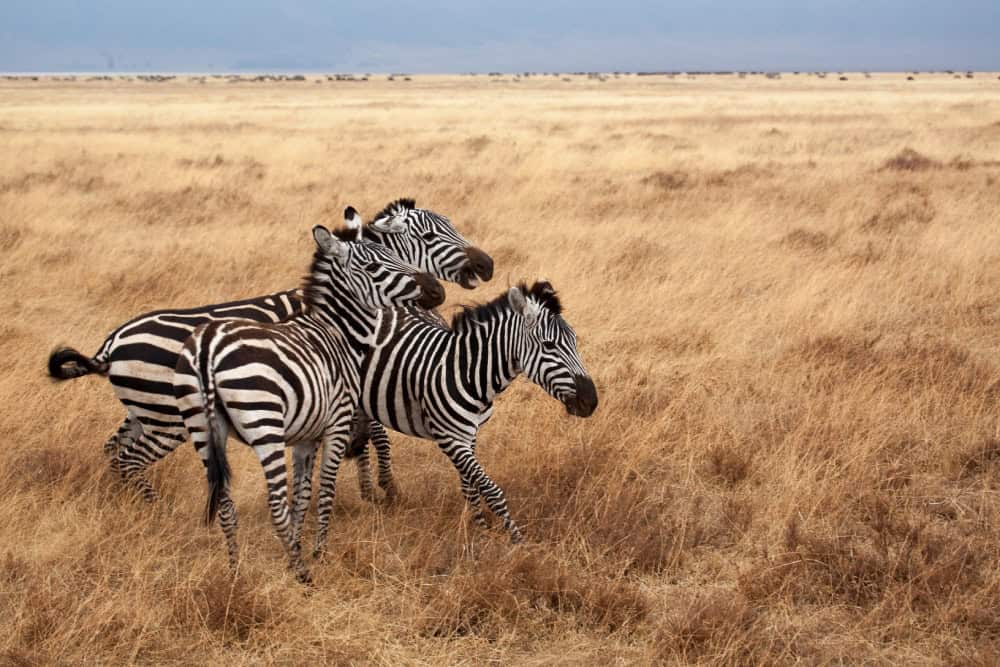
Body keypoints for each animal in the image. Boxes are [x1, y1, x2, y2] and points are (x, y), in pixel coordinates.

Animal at [47, 199, 491, 500]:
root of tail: (111, 343)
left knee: (113, 450)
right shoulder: (370, 375)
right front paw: (384, 489)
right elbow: (378, 436)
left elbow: (363, 436)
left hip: (145, 411)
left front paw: (367, 488)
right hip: (164, 417)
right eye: (430, 237)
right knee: (126, 456)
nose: (486, 266)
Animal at [174, 223, 443, 582]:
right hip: (264, 422)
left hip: (201, 427)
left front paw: (295, 549)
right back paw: (304, 575)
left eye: (395, 254)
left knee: (225, 504)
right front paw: (316, 552)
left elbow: (302, 497)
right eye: (374, 267)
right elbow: (324, 489)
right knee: (275, 504)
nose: (437, 290)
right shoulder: (337, 424)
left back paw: (236, 571)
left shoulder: (306, 436)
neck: (339, 334)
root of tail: (207, 344)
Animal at [348, 280, 598, 543]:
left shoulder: (469, 434)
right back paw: (381, 490)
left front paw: (479, 526)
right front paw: (515, 538)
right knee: (375, 435)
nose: (591, 402)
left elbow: (470, 486)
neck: (468, 372)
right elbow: (492, 490)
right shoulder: (450, 438)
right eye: (549, 345)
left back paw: (371, 490)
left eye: (575, 341)